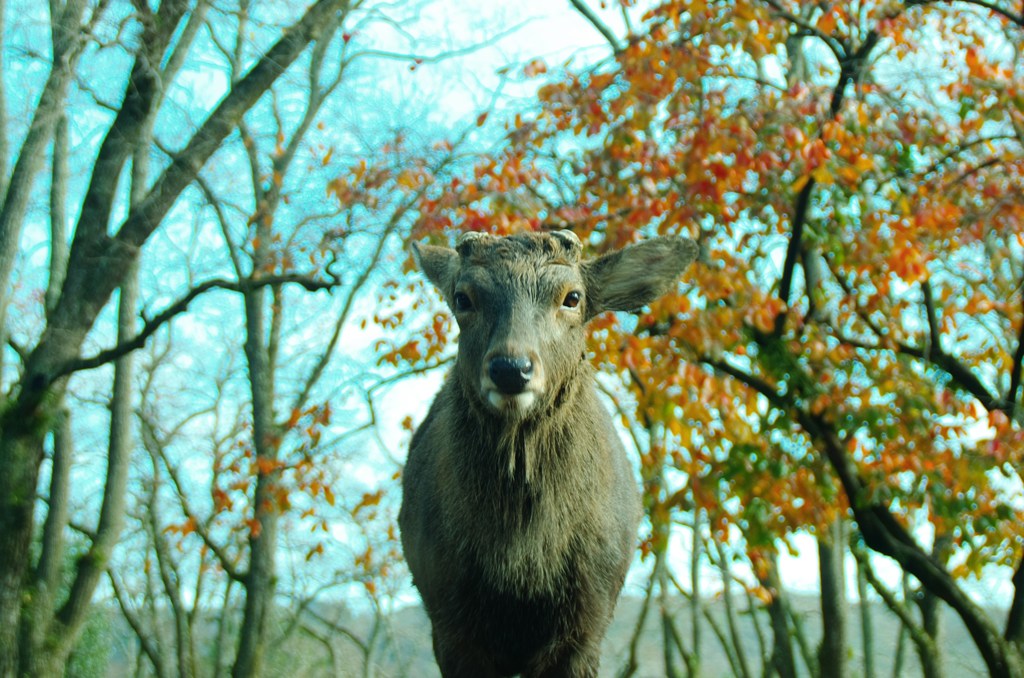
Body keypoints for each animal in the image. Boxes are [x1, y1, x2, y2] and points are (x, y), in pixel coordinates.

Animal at [397, 231, 696, 675]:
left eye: (572, 297)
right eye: (463, 298)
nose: (510, 368)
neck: (523, 563)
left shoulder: (589, 619)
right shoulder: (447, 615)